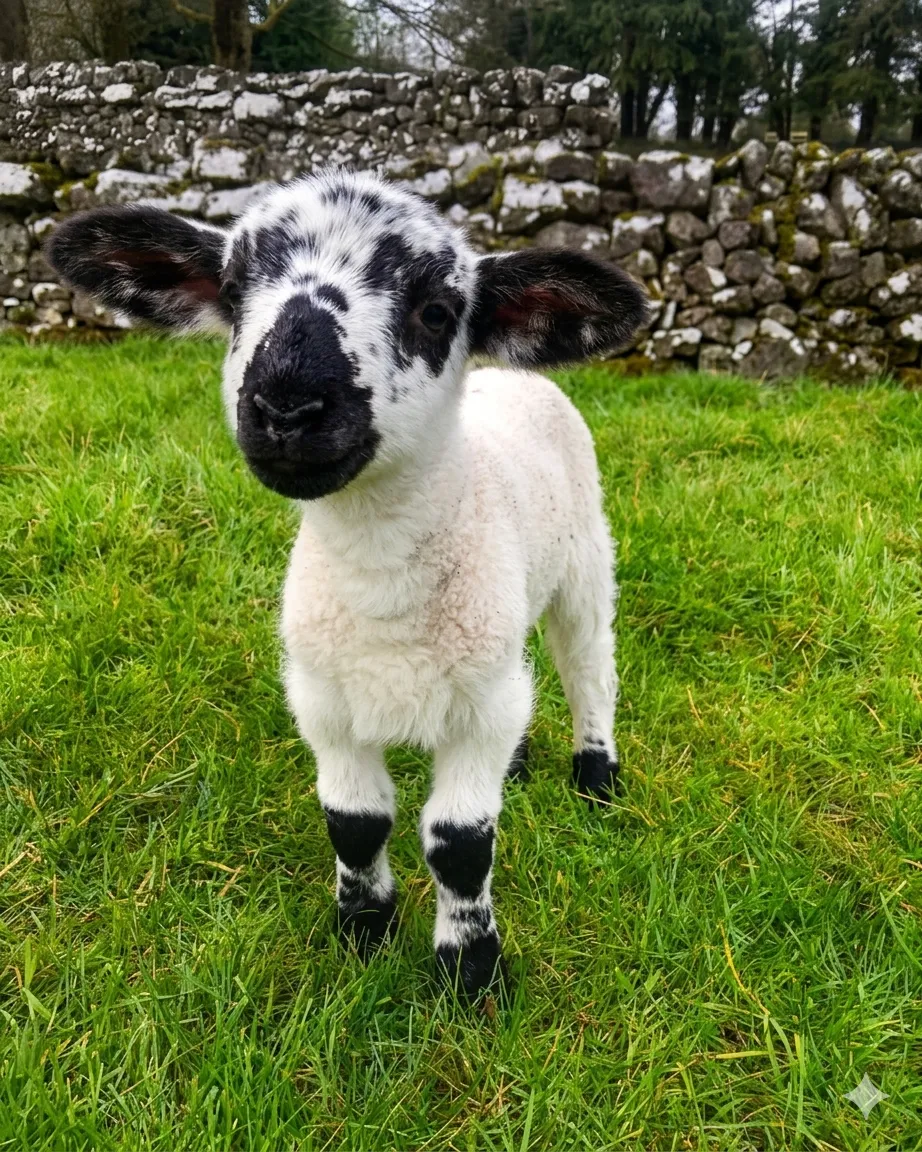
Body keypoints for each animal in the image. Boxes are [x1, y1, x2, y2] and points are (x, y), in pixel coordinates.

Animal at [47, 168, 648, 999]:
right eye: (232, 292)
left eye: (436, 311)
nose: (286, 404)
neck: (380, 578)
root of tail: (511, 374)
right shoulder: (325, 701)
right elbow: (354, 823)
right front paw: (364, 932)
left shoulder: (474, 716)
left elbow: (460, 844)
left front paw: (470, 972)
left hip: (587, 557)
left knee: (590, 667)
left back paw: (596, 777)